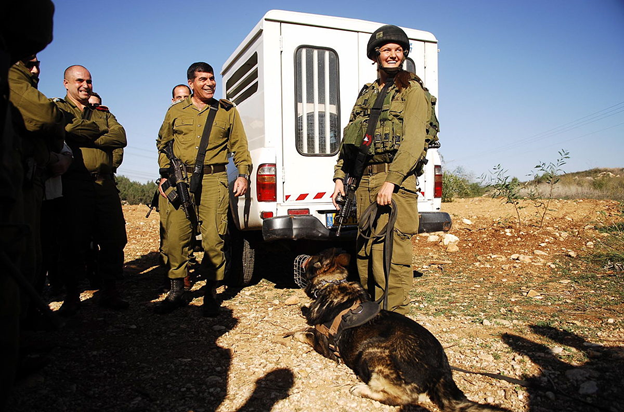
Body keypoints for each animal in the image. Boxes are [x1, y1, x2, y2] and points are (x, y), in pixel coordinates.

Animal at [290, 249, 510, 410]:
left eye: (313, 259)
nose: (300, 256)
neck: (332, 283)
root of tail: (441, 369)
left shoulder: (323, 342)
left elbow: (305, 333)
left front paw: (296, 330)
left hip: (372, 352)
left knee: (406, 397)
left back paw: (362, 389)